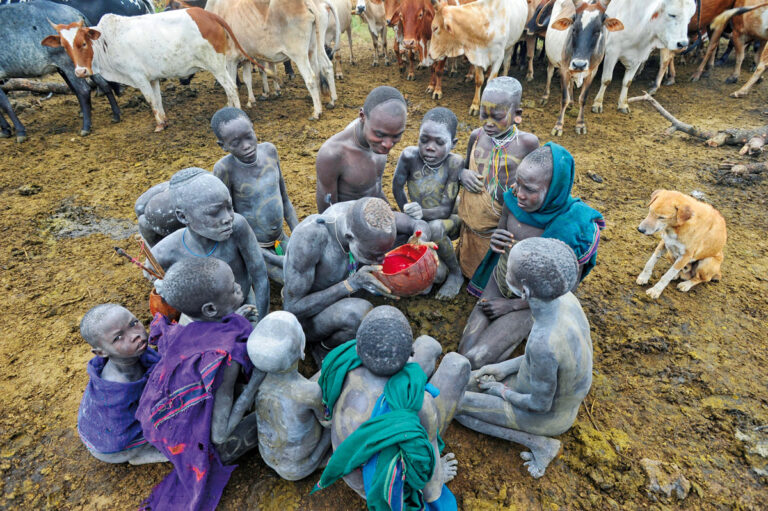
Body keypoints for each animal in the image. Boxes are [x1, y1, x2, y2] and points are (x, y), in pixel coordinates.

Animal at [0, 2, 119, 143]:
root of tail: (75, 12)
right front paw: (5, 130)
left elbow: (5, 104)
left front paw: (19, 132)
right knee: (103, 83)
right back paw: (116, 114)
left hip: (69, 65)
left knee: (83, 90)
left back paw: (86, 126)